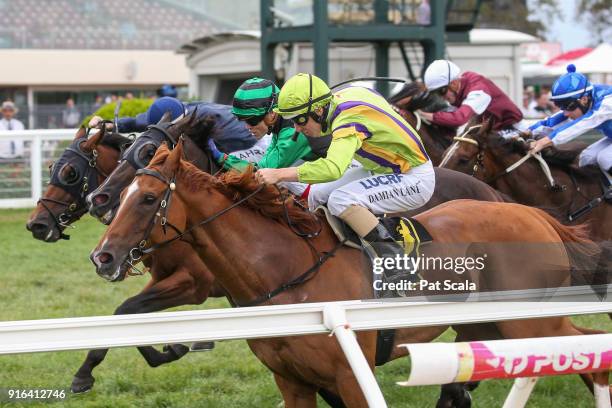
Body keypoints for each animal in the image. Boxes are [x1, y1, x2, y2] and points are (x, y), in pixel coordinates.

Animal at [89, 141, 608, 408]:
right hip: (495, 325)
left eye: (148, 199)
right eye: (125, 193)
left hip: (526, 321)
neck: (287, 277)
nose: (103, 257)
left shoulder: (350, 375)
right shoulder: (293, 382)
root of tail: (534, 215)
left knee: (585, 350)